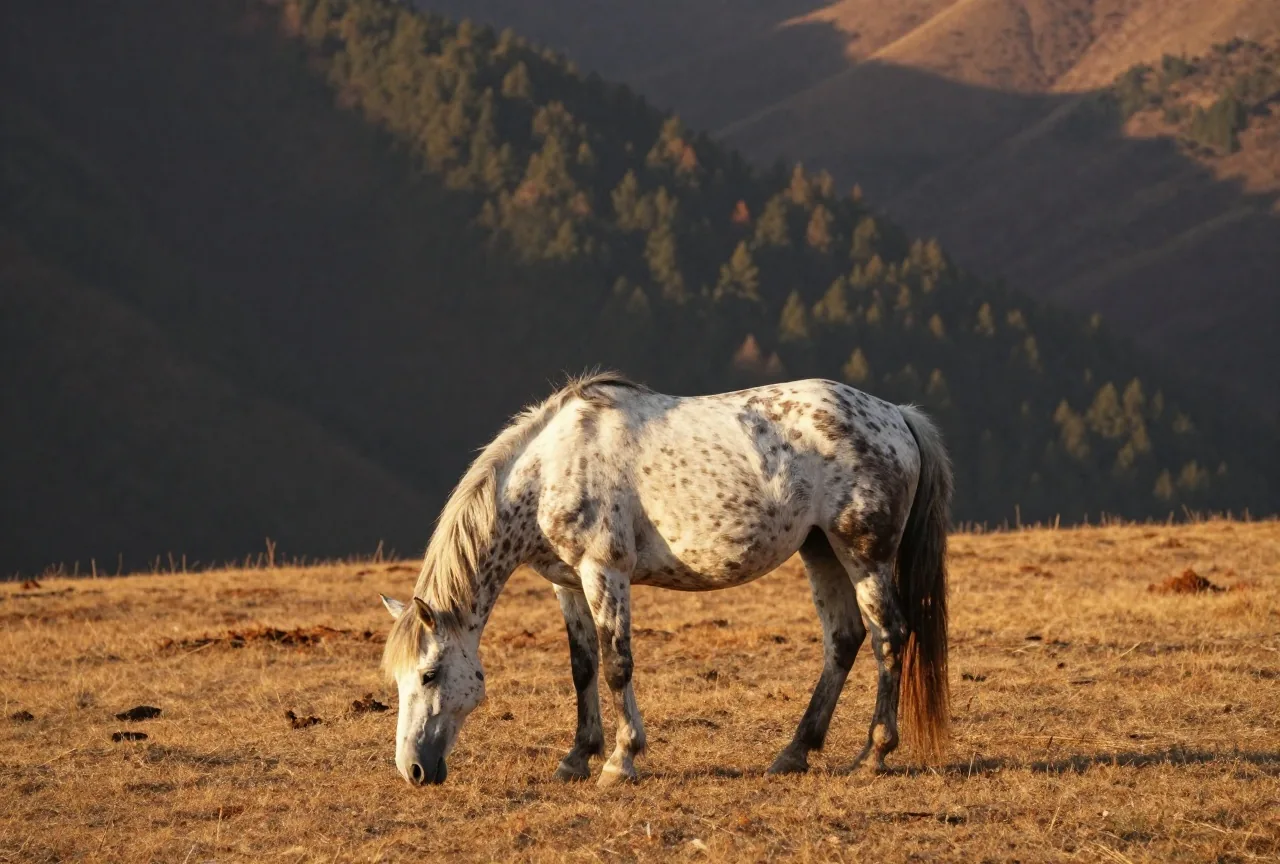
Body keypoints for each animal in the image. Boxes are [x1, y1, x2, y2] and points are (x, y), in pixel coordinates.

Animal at [379, 372, 951, 787]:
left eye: (429, 675)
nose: (414, 770)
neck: (547, 470)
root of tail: (897, 416)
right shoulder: (567, 582)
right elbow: (583, 667)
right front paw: (576, 758)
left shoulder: (604, 571)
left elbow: (617, 665)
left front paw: (620, 761)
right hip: (820, 550)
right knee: (844, 639)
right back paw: (794, 753)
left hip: (863, 555)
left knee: (889, 637)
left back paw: (874, 753)